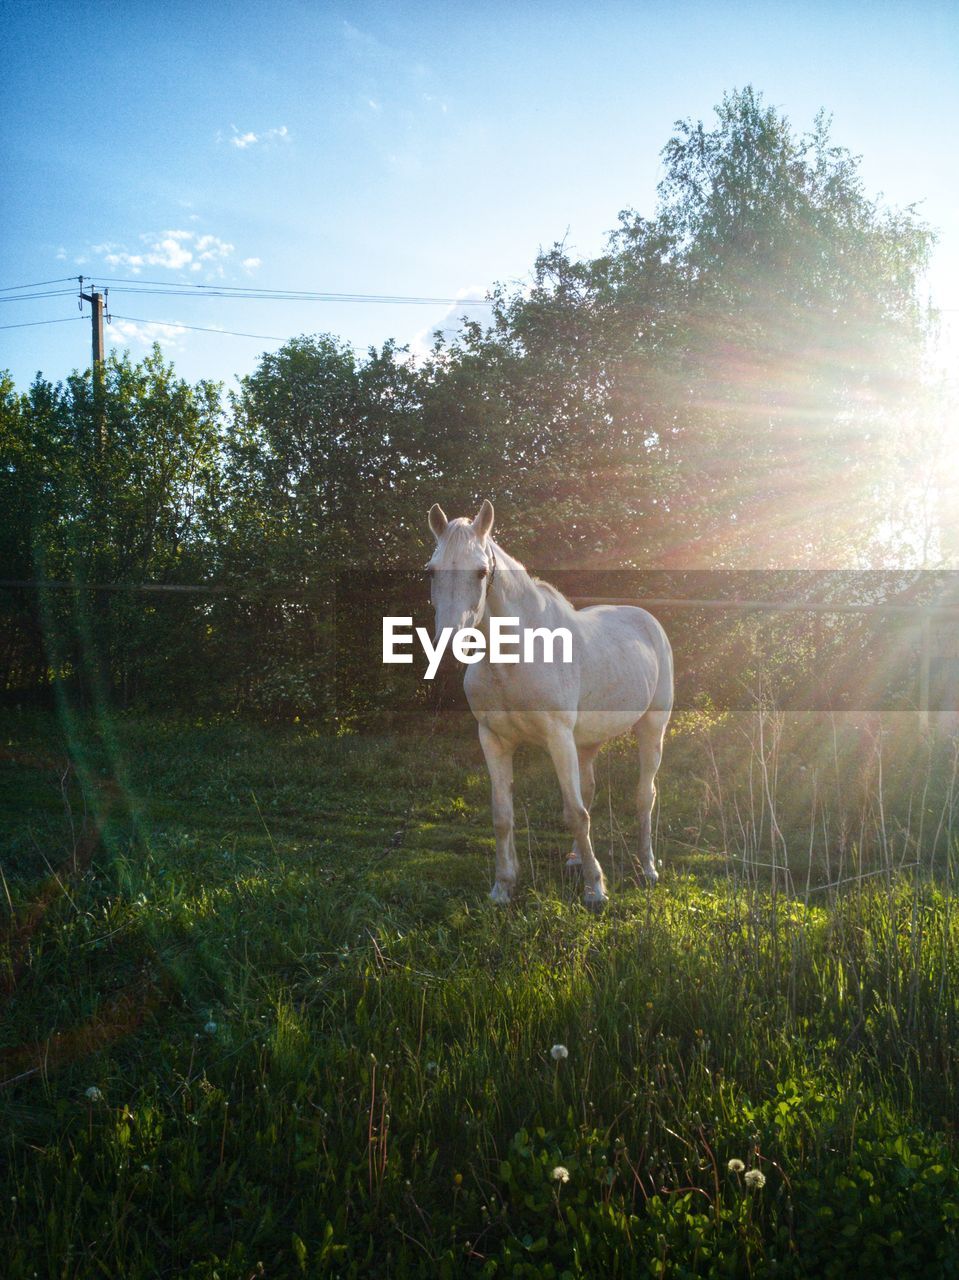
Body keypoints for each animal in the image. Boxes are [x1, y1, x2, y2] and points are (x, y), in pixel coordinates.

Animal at [430, 499, 670, 911]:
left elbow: (575, 812)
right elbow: (503, 815)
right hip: (586, 742)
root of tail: (647, 620)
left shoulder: (558, 738)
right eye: (431, 570)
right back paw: (575, 858)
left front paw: (595, 890)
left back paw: (648, 868)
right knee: (589, 789)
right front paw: (503, 887)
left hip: (652, 729)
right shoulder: (493, 739)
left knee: (645, 797)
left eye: (481, 571)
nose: (448, 642)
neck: (514, 658)